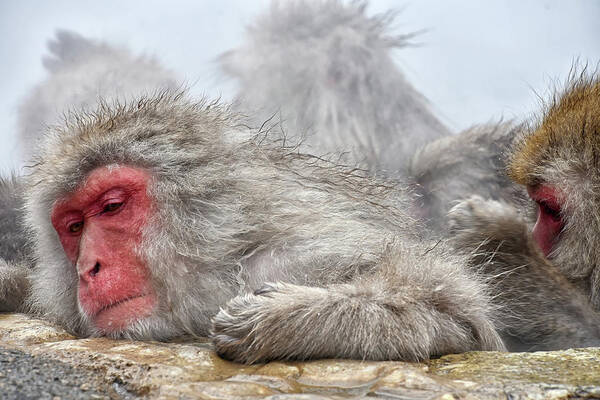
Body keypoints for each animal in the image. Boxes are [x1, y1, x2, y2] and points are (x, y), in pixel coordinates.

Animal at [18, 92, 504, 364]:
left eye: (113, 206)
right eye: (74, 227)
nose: (88, 268)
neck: (221, 265)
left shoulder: (299, 256)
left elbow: (451, 311)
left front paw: (277, 321)